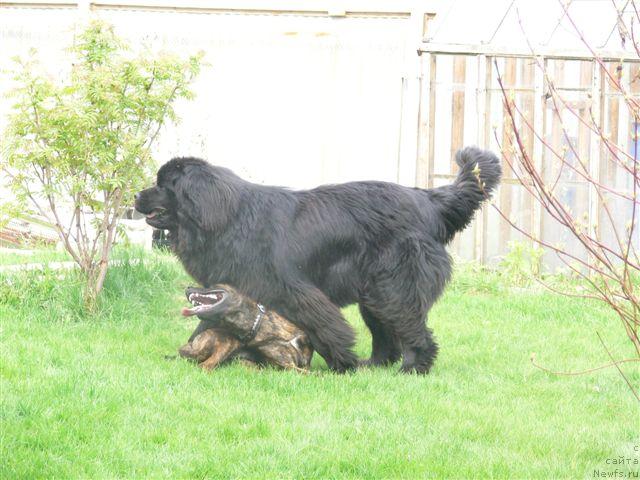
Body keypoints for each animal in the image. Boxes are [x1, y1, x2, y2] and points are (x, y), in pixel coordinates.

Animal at [178, 284, 312, 372]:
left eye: (210, 286)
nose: (188, 288)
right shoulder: (288, 365)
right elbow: (310, 373)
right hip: (226, 343)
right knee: (204, 365)